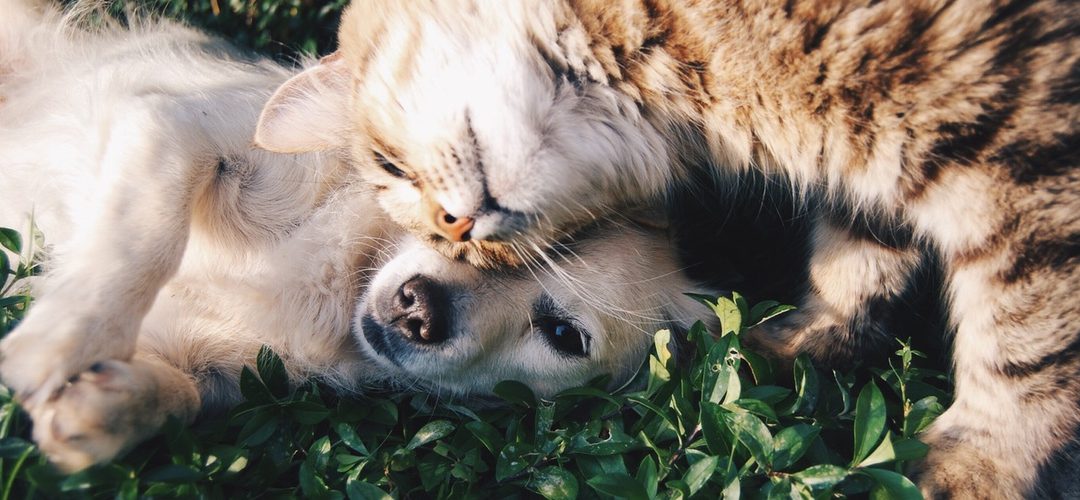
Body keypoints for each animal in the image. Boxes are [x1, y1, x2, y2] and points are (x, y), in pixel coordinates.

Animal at [257, 1, 1080, 498]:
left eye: (389, 167)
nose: (455, 230)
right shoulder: (877, 168)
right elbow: (858, 256)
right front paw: (798, 344)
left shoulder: (1024, 154)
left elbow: (1025, 342)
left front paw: (981, 463)